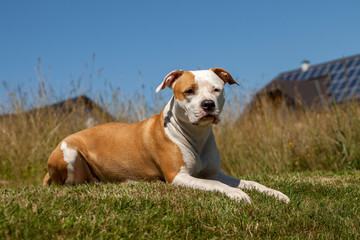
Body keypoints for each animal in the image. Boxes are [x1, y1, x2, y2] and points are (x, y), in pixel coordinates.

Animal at [43, 68, 290, 204]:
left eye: (216, 89)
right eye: (189, 91)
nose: (208, 105)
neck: (196, 135)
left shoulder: (215, 172)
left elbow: (250, 182)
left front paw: (276, 194)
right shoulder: (178, 176)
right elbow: (216, 185)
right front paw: (238, 195)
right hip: (69, 151)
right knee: (70, 185)